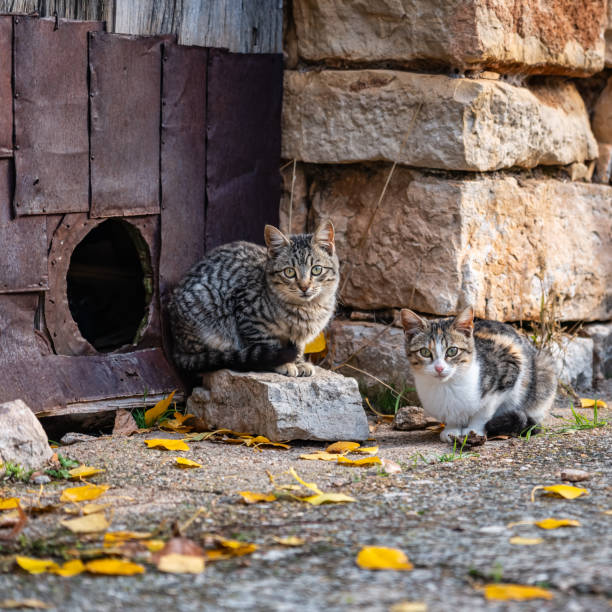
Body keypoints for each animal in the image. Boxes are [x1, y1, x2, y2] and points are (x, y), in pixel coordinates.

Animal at [169, 222, 340, 376]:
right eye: (289, 272)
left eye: (316, 270)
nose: (304, 287)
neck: (307, 308)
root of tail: (175, 346)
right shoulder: (249, 316)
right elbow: (269, 344)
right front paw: (284, 364)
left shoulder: (298, 338)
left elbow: (298, 348)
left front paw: (299, 362)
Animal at [400, 306, 556, 444]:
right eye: (425, 352)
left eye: (452, 351)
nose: (439, 368)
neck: (447, 386)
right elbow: (452, 417)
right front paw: (451, 429)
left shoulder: (510, 366)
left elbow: (484, 412)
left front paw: (473, 430)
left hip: (544, 370)